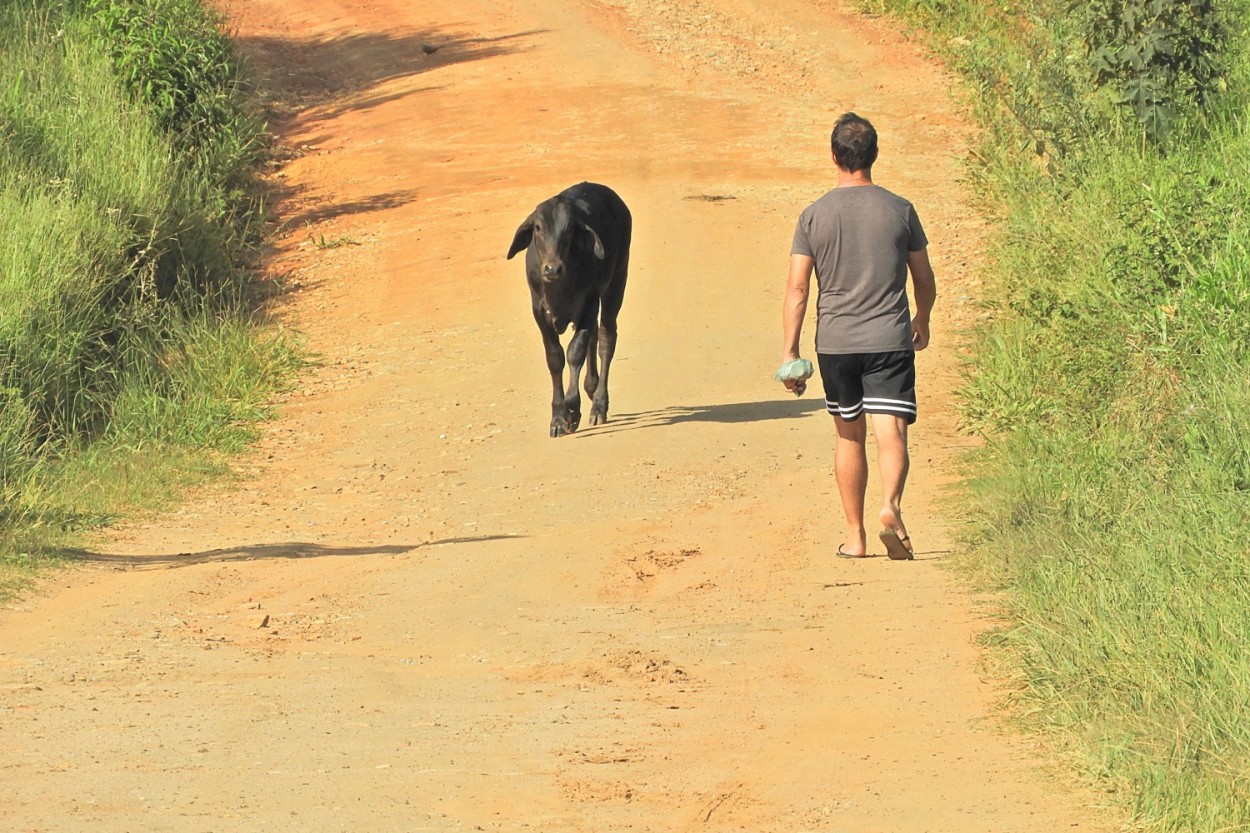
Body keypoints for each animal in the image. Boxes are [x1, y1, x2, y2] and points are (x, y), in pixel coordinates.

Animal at [505, 182, 630, 437]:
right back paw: (590, 387)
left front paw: (572, 409)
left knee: (606, 339)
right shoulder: (539, 311)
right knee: (594, 336)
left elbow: (575, 352)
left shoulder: (589, 302)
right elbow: (555, 357)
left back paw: (598, 404)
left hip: (616, 284)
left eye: (570, 228)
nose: (552, 268)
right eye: (538, 227)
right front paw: (557, 418)